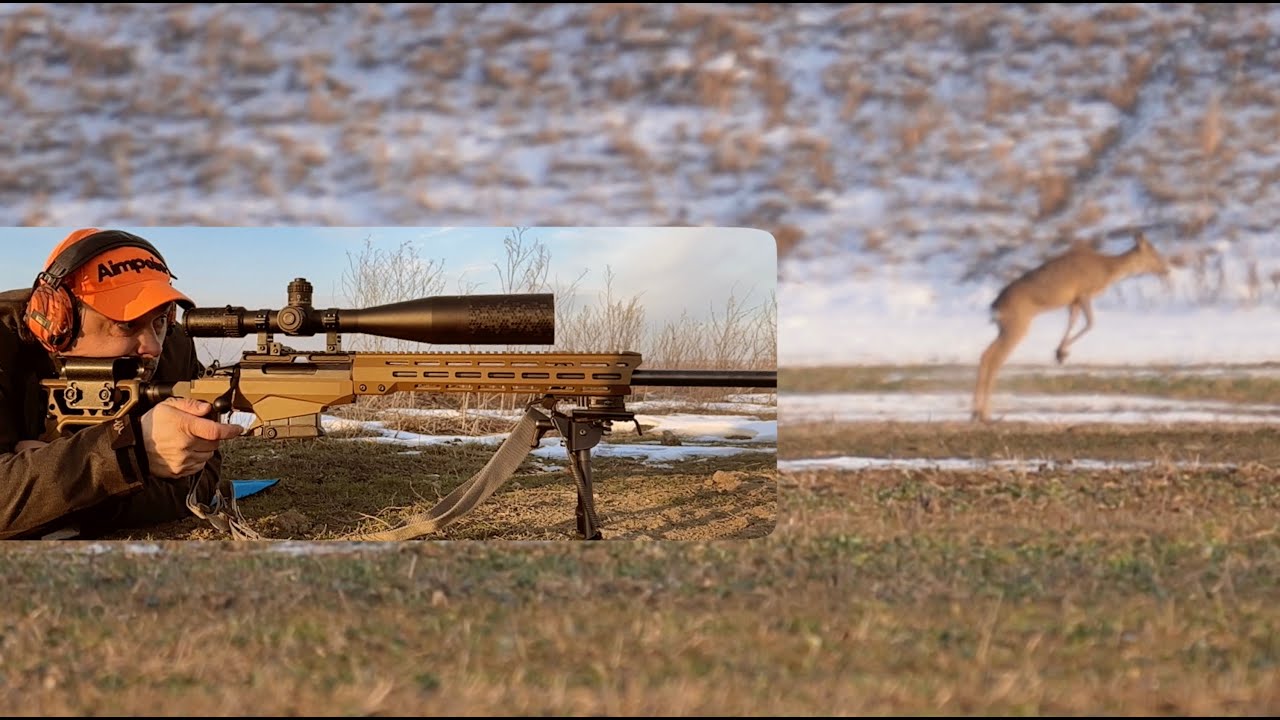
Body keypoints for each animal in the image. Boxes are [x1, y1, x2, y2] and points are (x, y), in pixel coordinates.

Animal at [971, 231, 1172, 423]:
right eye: (1154, 254)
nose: (1167, 270)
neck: (1107, 270)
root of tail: (995, 306)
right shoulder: (1084, 292)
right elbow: (1090, 323)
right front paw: (1061, 352)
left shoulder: (1073, 300)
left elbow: (1073, 321)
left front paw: (1060, 352)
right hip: (1017, 324)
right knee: (995, 359)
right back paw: (985, 414)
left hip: (1004, 327)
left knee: (986, 354)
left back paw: (977, 413)